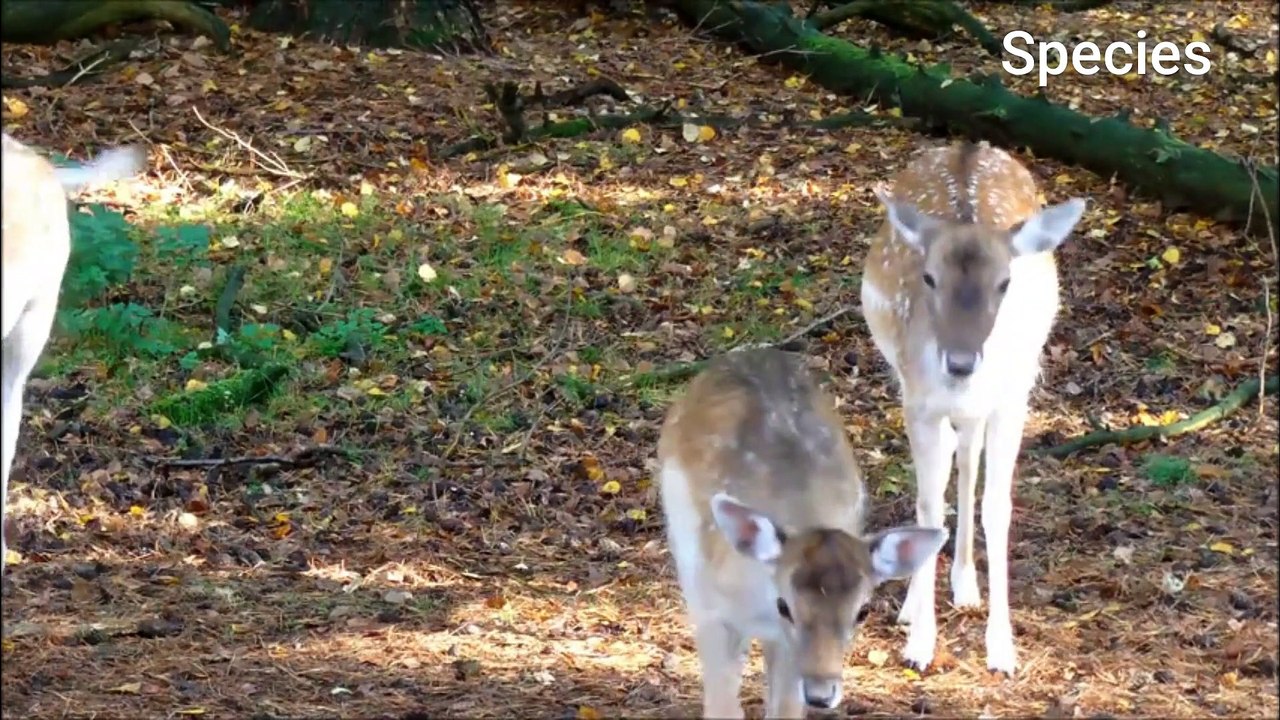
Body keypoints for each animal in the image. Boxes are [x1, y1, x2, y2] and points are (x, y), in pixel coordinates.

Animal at [658, 347, 947, 718]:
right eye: (785, 605)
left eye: (863, 611)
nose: (821, 694)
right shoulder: (713, 613)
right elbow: (722, 706)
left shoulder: (786, 646)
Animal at [858, 140, 1087, 676]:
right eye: (928, 277)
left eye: (1004, 281)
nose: (960, 362)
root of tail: (969, 145)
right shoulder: (918, 400)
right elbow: (927, 504)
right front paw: (920, 643)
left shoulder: (1012, 402)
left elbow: (998, 507)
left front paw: (1002, 650)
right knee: (949, 465)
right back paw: (915, 603)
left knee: (967, 458)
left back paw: (965, 584)